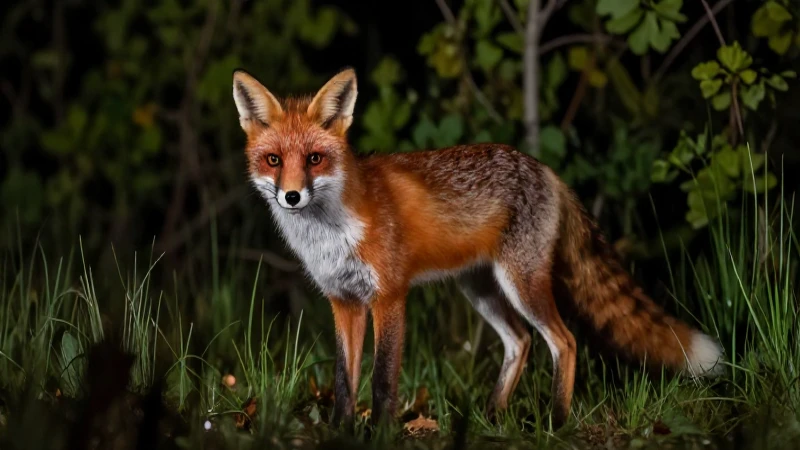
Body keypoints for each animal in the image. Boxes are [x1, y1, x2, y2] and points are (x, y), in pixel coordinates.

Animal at [231, 67, 725, 428]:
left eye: (315, 159)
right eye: (274, 160)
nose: (292, 196)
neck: (331, 233)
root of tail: (547, 171)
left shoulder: (389, 296)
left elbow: (383, 379)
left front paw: (382, 434)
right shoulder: (344, 301)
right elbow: (343, 381)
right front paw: (340, 432)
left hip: (522, 283)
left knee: (563, 342)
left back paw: (557, 422)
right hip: (481, 289)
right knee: (520, 342)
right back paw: (491, 416)